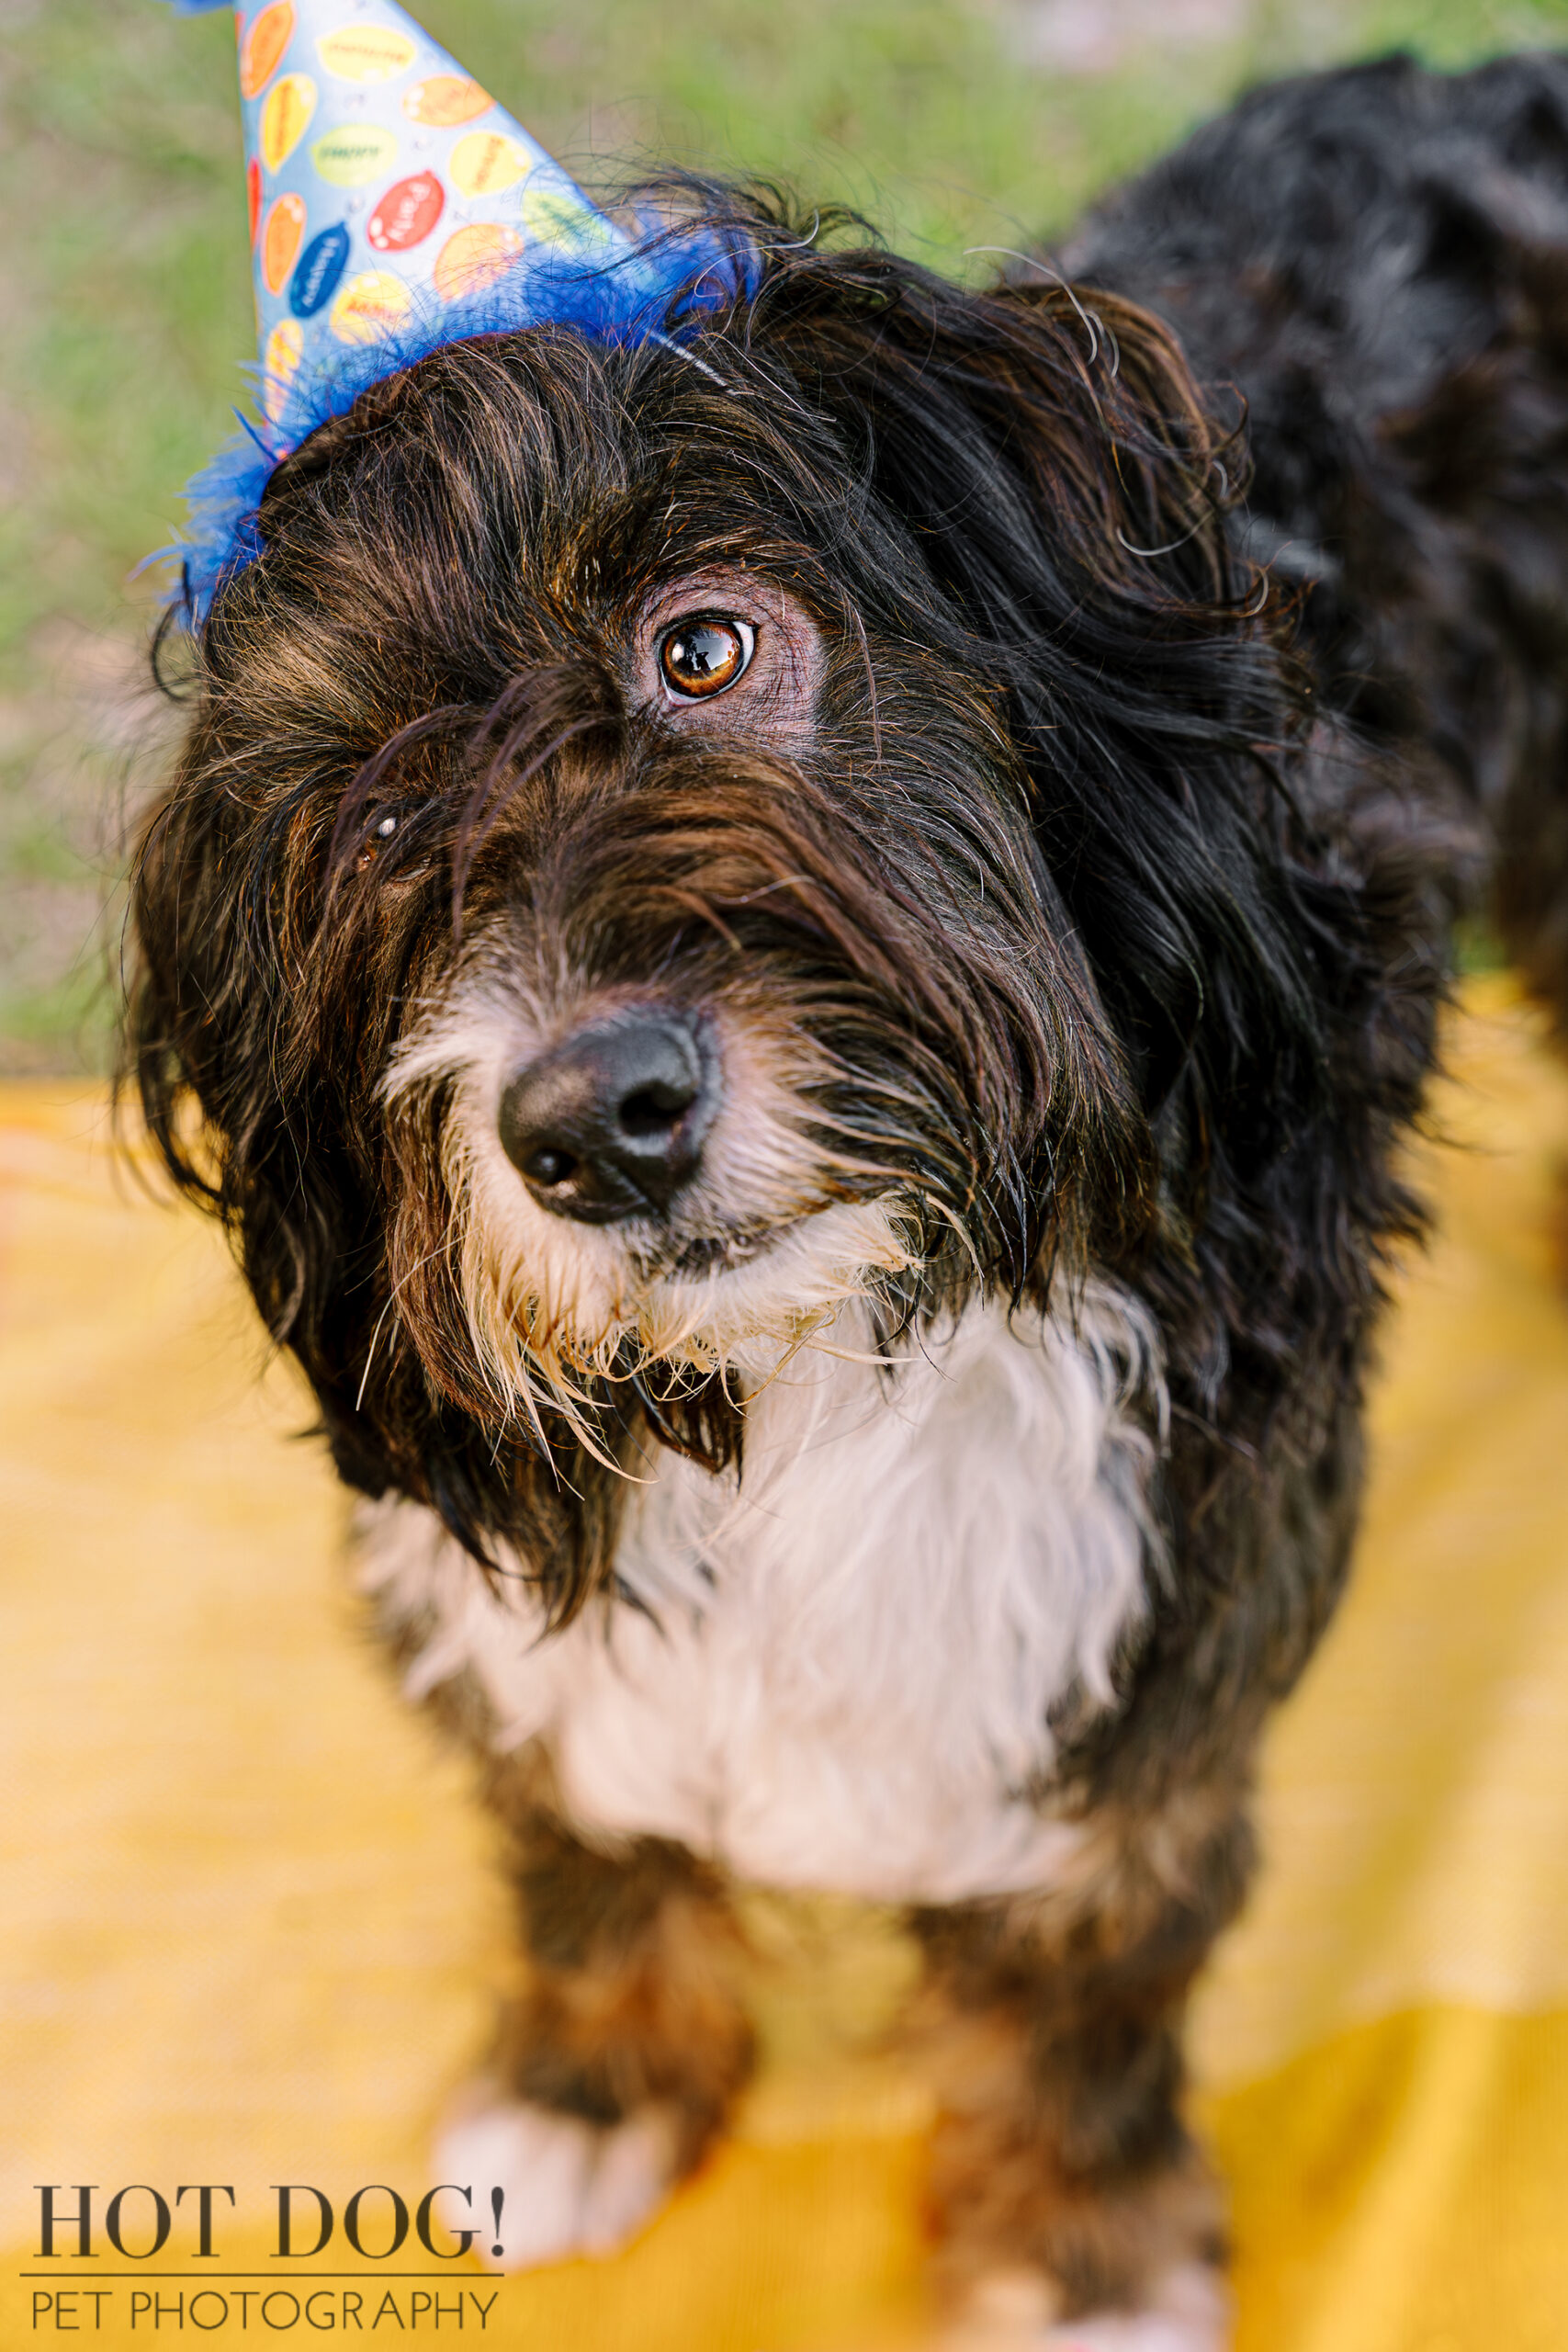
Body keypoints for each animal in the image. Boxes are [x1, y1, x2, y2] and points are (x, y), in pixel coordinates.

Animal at [125, 45, 1568, 2342]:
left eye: (707, 645)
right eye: (370, 817)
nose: (589, 1119)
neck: (823, 1352)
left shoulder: (1168, 1568)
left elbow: (1095, 1917)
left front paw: (1071, 2246)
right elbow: (582, 1807)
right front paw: (592, 2080)